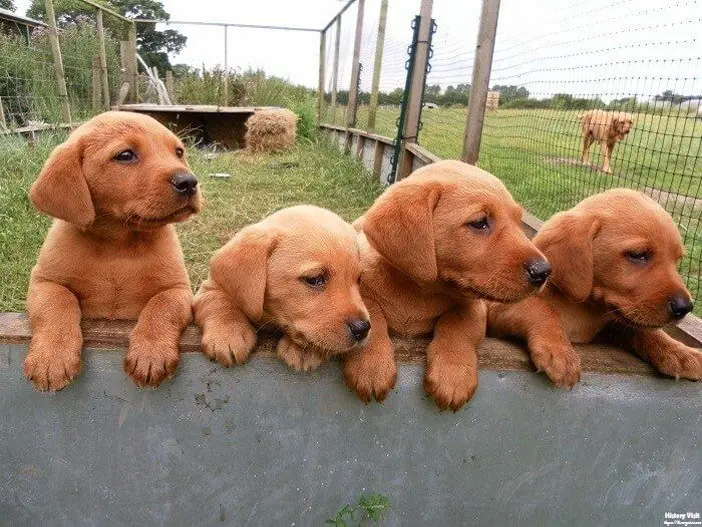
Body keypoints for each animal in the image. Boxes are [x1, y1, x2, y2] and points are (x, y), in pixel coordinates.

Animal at [24, 111, 201, 392]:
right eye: (126, 155)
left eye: (179, 152)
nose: (189, 182)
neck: (118, 246)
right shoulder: (44, 281)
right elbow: (57, 303)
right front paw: (52, 357)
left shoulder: (178, 289)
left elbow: (161, 307)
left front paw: (151, 353)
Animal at [192, 204, 368, 374]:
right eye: (314, 279)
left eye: (359, 279)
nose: (363, 328)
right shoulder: (210, 286)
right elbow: (217, 301)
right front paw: (228, 334)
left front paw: (305, 350)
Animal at [344, 161, 552, 412]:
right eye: (479, 222)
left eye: (518, 222)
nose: (544, 271)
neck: (418, 293)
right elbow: (372, 314)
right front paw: (371, 366)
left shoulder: (475, 306)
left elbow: (458, 322)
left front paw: (452, 375)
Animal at [490, 188, 702, 386]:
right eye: (638, 255)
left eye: (676, 260)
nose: (685, 307)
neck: (585, 310)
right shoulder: (498, 306)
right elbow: (539, 307)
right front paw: (560, 351)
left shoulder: (612, 327)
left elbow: (643, 330)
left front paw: (680, 353)